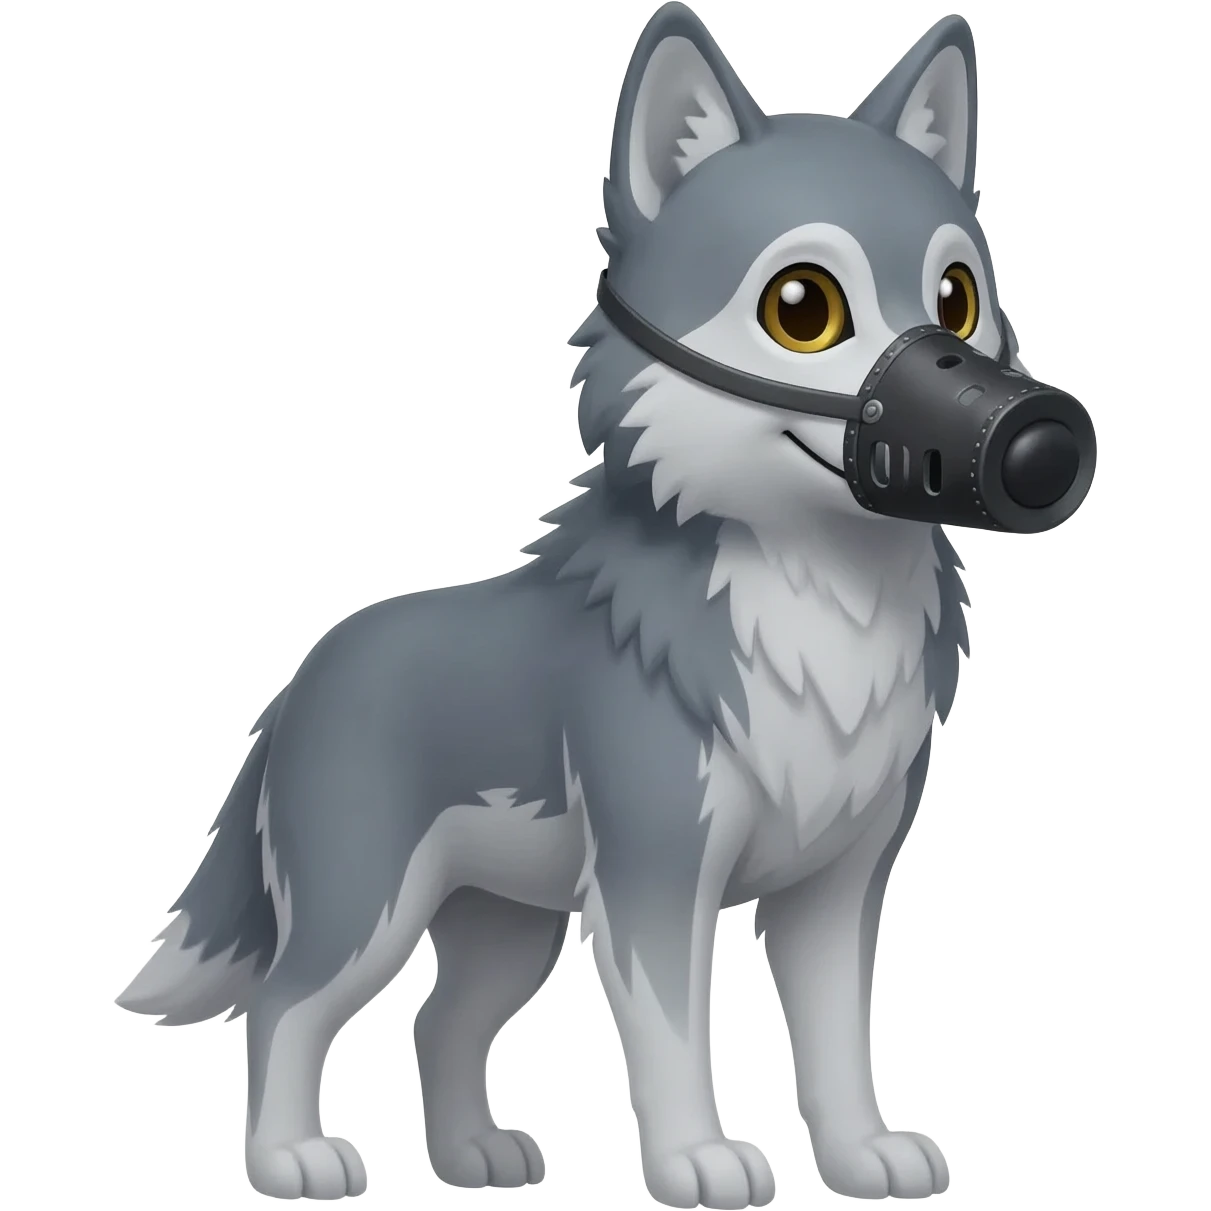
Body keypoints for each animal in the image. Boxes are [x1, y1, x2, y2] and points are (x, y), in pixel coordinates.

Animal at [115, 4, 1097, 1205]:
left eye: (957, 297)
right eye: (802, 308)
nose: (1044, 443)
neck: (819, 597)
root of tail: (307, 672)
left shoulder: (836, 885)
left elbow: (835, 1037)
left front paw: (860, 1151)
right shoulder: (651, 877)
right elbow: (674, 1032)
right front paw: (694, 1158)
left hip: (507, 923)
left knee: (438, 1023)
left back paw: (473, 1155)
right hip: (369, 902)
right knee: (283, 1004)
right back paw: (291, 1156)